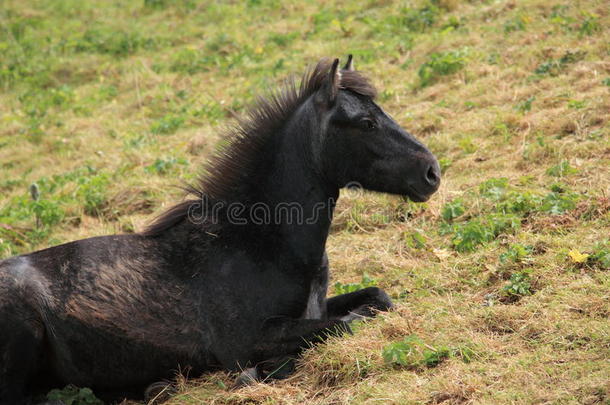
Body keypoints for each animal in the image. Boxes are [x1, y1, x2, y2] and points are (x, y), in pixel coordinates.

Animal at [0, 55, 436, 402]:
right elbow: (347, 324)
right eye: (366, 122)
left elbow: (377, 298)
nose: (431, 171)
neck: (261, 244)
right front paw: (257, 375)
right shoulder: (245, 342)